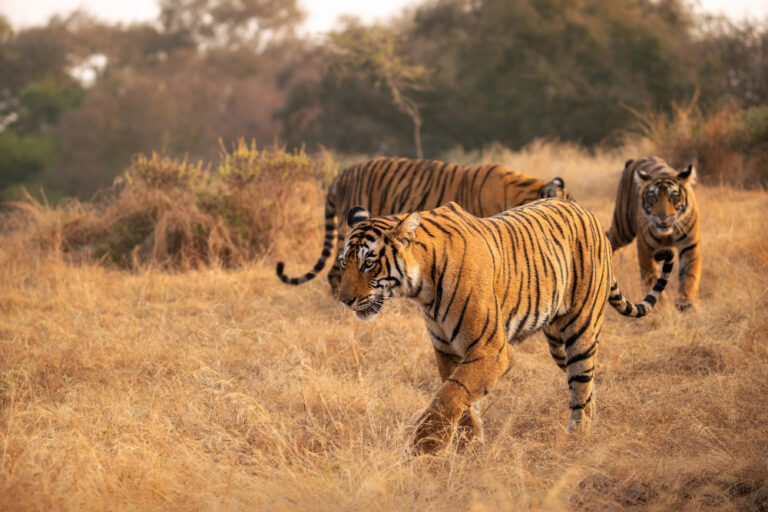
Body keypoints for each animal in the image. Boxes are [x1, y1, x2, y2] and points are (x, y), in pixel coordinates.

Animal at [336, 198, 672, 454]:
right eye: (343, 263)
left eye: (368, 263)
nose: (344, 299)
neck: (422, 288)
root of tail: (586, 212)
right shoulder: (447, 350)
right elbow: (460, 397)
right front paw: (469, 444)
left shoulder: (491, 349)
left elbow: (448, 397)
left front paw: (425, 448)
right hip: (558, 343)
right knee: (587, 382)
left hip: (581, 329)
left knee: (581, 384)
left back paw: (578, 437)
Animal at [608, 156, 704, 310]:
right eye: (653, 198)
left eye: (674, 197)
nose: (662, 217)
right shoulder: (646, 249)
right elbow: (651, 276)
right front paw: (659, 305)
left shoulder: (690, 247)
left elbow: (690, 275)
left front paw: (685, 302)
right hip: (623, 229)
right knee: (610, 238)